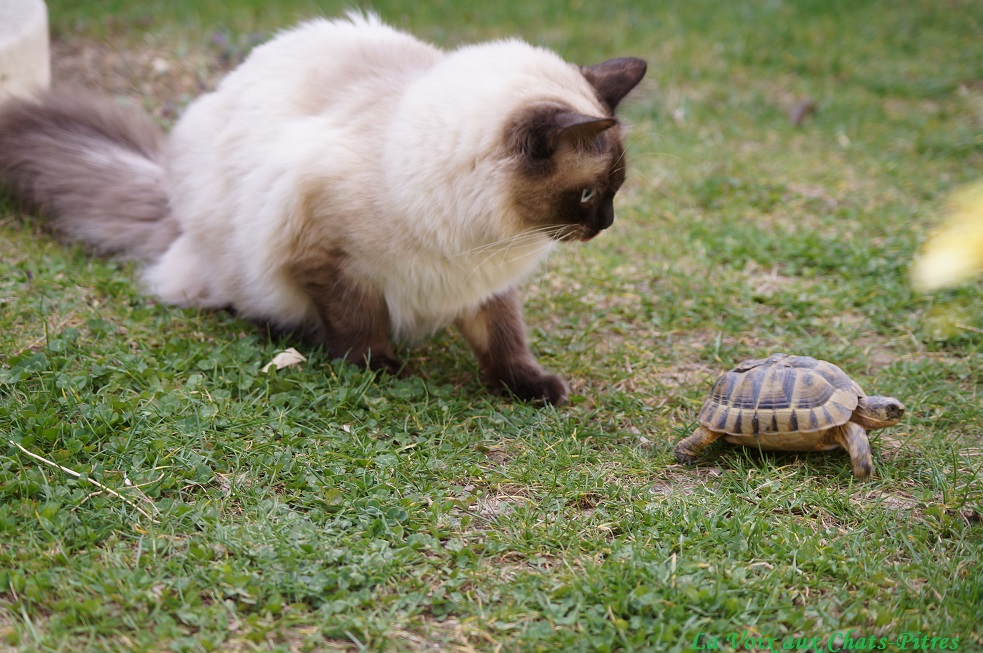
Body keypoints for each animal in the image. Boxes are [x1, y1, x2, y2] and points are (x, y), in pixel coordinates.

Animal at [0, 12, 644, 404]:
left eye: (615, 189)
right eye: (590, 194)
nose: (607, 225)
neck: (482, 235)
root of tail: (171, 195)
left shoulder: (485, 283)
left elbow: (505, 341)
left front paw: (531, 389)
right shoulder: (327, 256)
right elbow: (358, 323)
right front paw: (382, 370)